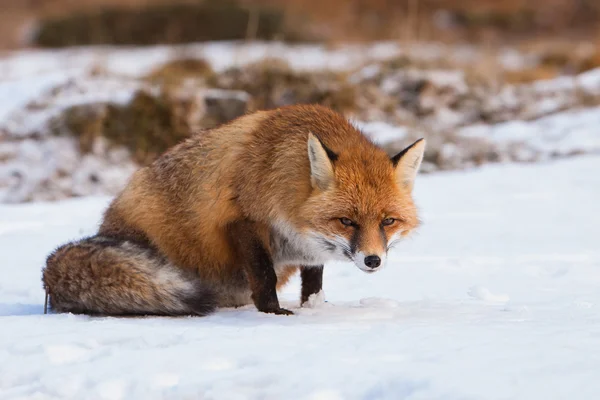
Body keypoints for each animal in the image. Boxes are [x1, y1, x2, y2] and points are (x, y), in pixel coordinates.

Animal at [42, 104, 424, 316]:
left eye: (388, 221)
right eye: (346, 221)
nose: (372, 260)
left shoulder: (307, 245)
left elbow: (313, 281)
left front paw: (315, 307)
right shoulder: (242, 221)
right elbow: (264, 275)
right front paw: (274, 312)